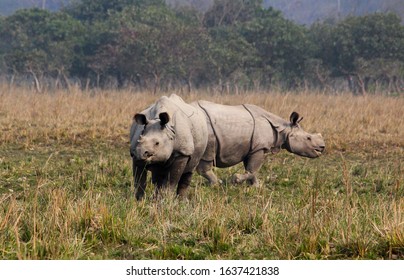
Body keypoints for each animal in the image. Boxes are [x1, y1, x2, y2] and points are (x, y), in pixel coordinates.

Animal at [193, 100, 326, 186]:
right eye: (308, 138)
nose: (322, 147)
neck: (283, 129)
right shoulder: (259, 147)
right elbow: (253, 169)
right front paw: (236, 180)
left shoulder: (251, 148)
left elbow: (251, 169)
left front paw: (256, 185)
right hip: (207, 131)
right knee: (207, 156)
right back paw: (216, 184)